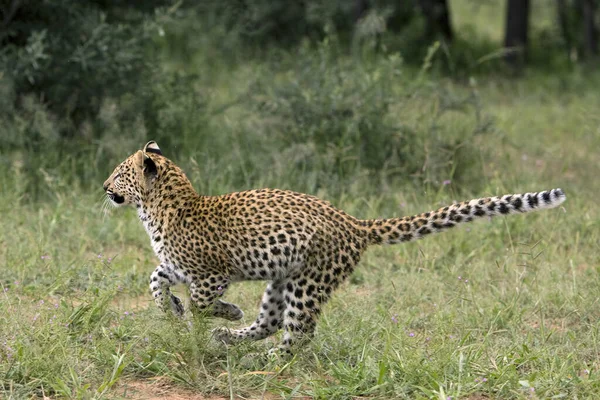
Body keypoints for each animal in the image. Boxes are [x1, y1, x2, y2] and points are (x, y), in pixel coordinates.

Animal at [103, 141, 568, 354]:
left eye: (119, 173)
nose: (104, 187)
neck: (157, 209)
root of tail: (354, 222)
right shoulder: (179, 268)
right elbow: (156, 278)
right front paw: (173, 309)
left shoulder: (211, 275)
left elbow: (201, 303)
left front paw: (213, 315)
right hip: (283, 279)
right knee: (271, 321)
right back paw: (234, 337)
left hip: (308, 284)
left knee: (297, 335)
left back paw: (266, 358)